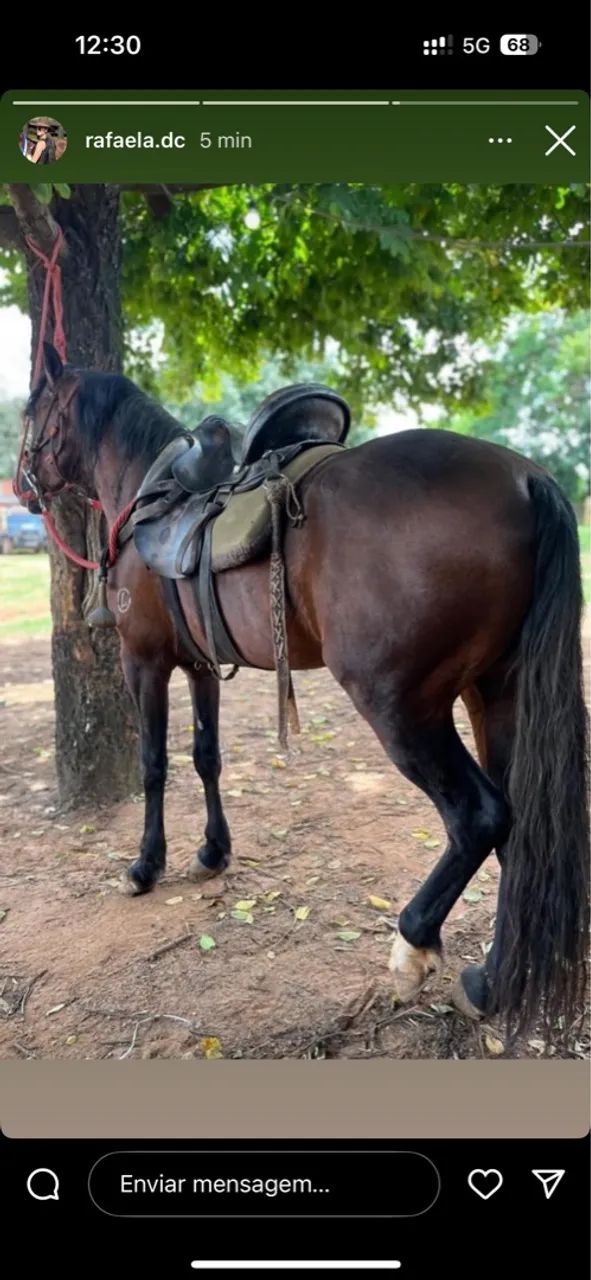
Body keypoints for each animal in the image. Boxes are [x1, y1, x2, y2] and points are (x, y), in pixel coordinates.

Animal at [18, 341, 589, 1036]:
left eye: (31, 411)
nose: (20, 487)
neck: (151, 497)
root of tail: (526, 479)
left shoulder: (144, 662)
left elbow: (153, 763)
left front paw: (145, 866)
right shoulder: (201, 667)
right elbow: (207, 757)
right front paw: (212, 852)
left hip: (402, 706)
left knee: (480, 815)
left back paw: (414, 945)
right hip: (495, 691)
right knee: (521, 827)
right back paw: (492, 980)